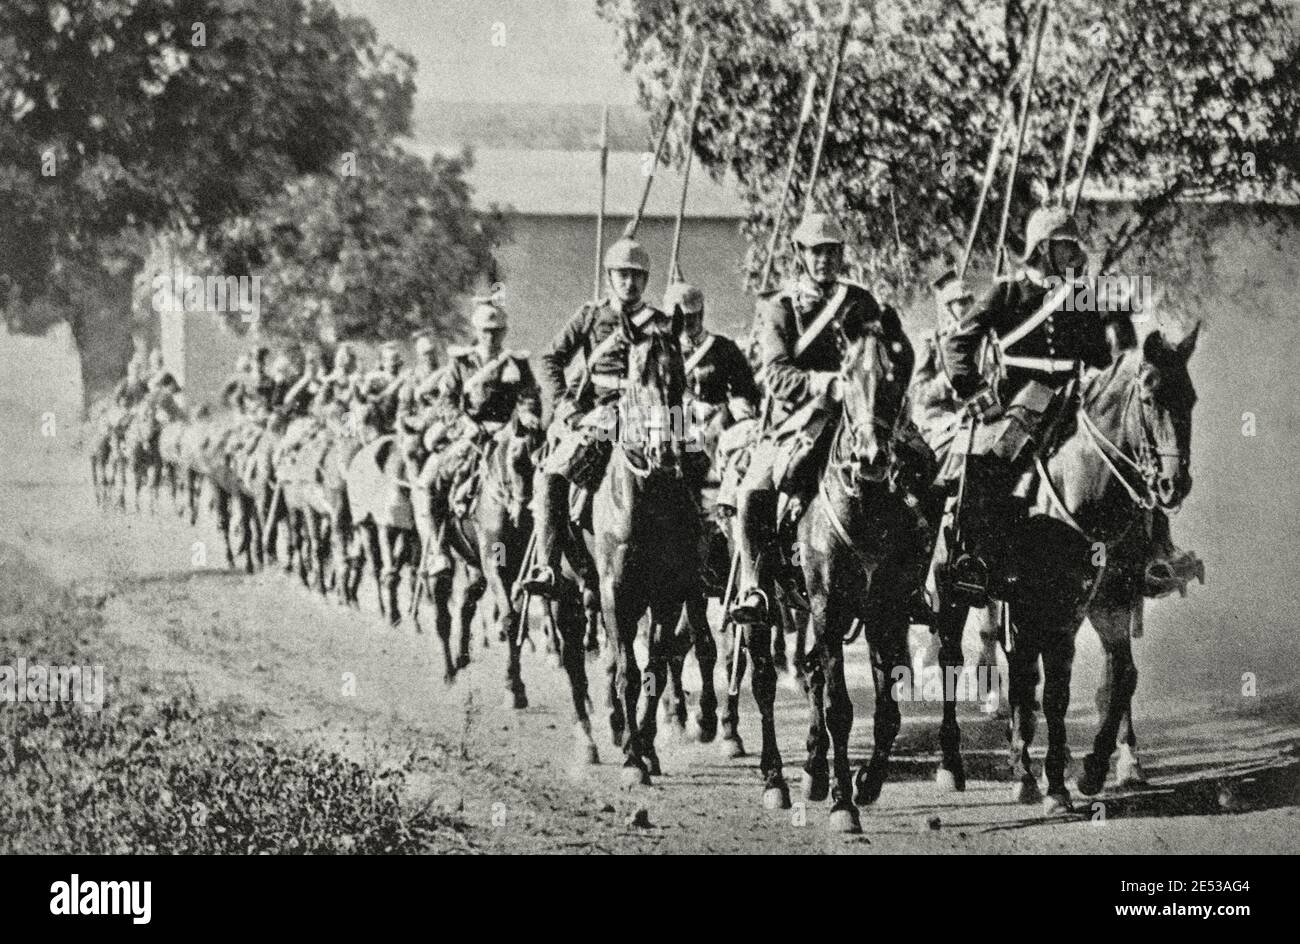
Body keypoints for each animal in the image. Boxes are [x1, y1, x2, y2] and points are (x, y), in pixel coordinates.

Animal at [935, 325, 1196, 811]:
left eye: (1190, 398)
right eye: (1149, 396)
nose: (1174, 484)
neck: (1087, 490)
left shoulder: (1102, 603)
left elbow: (1116, 678)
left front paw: (1088, 771)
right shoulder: (1040, 605)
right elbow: (1047, 689)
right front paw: (1051, 780)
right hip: (953, 592)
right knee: (953, 661)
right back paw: (952, 764)